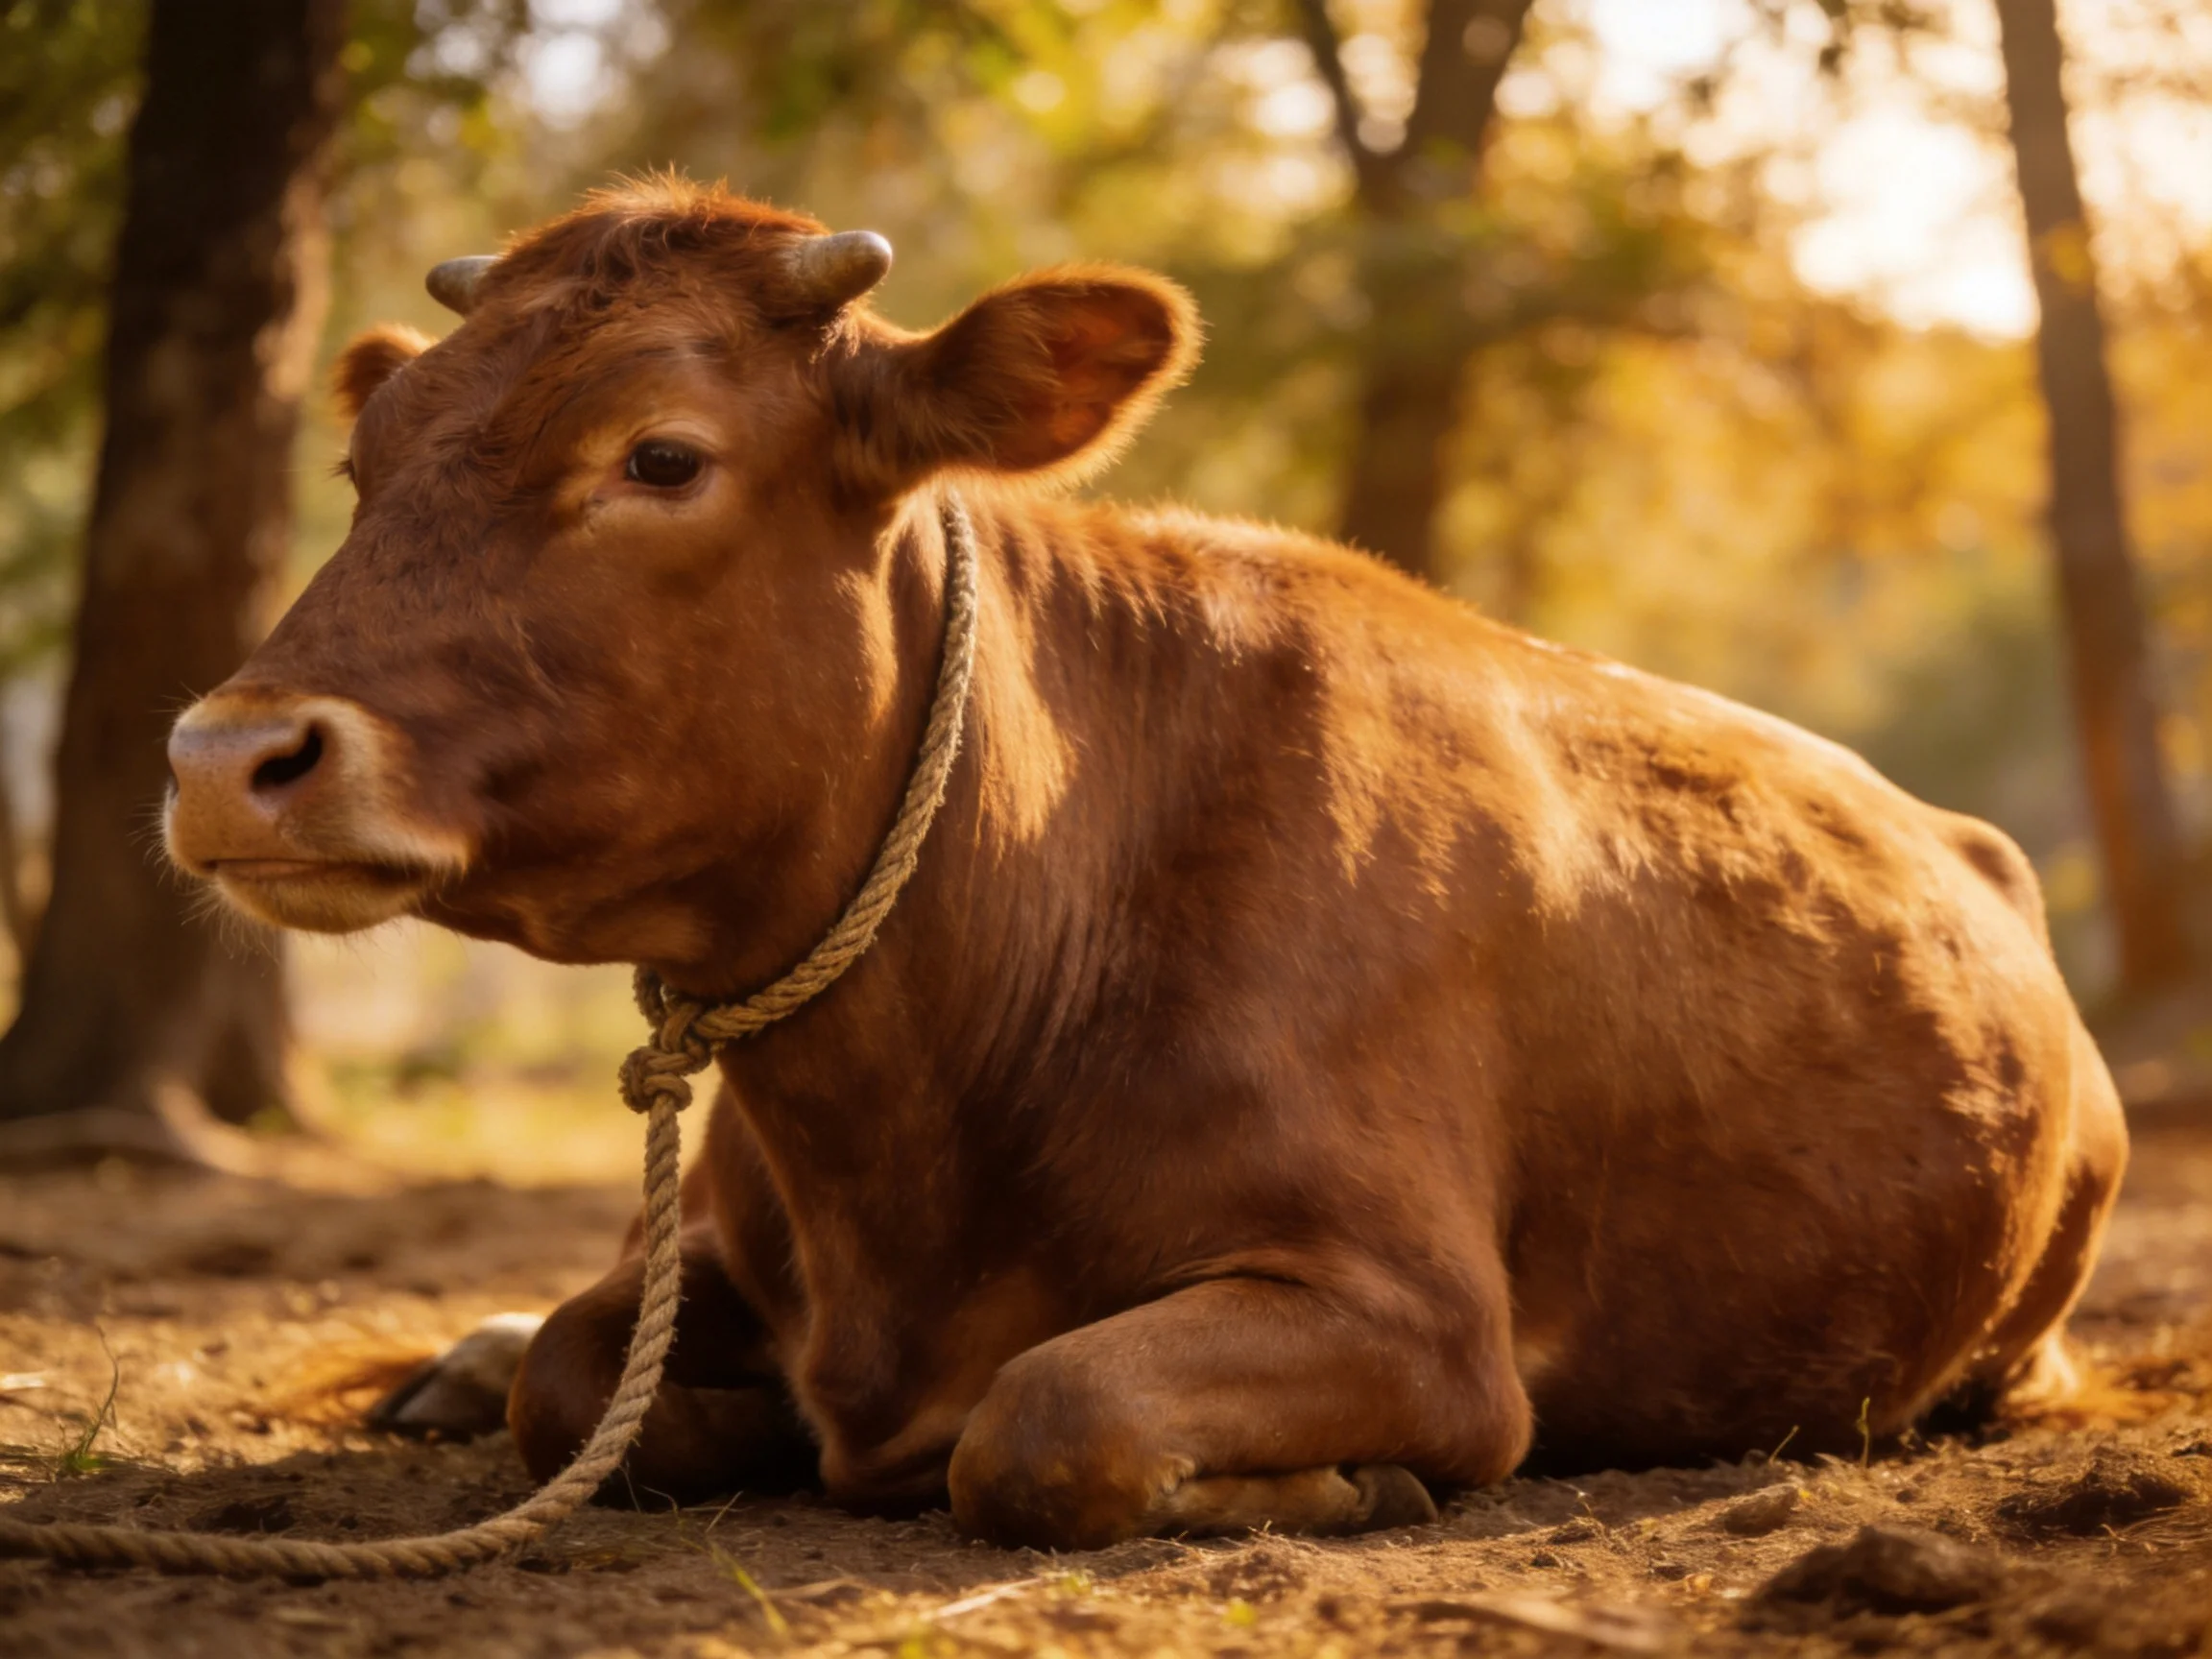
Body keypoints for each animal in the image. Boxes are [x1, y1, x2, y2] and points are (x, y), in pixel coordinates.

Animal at [164, 179, 2125, 1551]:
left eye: (659, 454)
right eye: (363, 458)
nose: (225, 757)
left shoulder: (1417, 1317)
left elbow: (1046, 1422)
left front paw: (1342, 1488)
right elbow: (581, 1385)